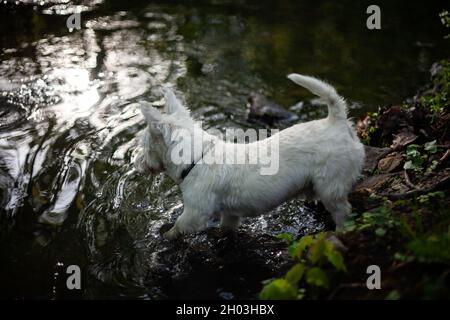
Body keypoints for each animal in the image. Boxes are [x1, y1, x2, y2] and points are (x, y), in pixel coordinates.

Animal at [134, 74, 366, 240]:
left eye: (144, 145)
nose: (136, 164)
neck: (196, 160)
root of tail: (336, 121)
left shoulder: (195, 212)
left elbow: (178, 226)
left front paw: (165, 236)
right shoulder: (230, 214)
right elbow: (226, 227)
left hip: (331, 186)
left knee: (343, 212)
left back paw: (339, 233)